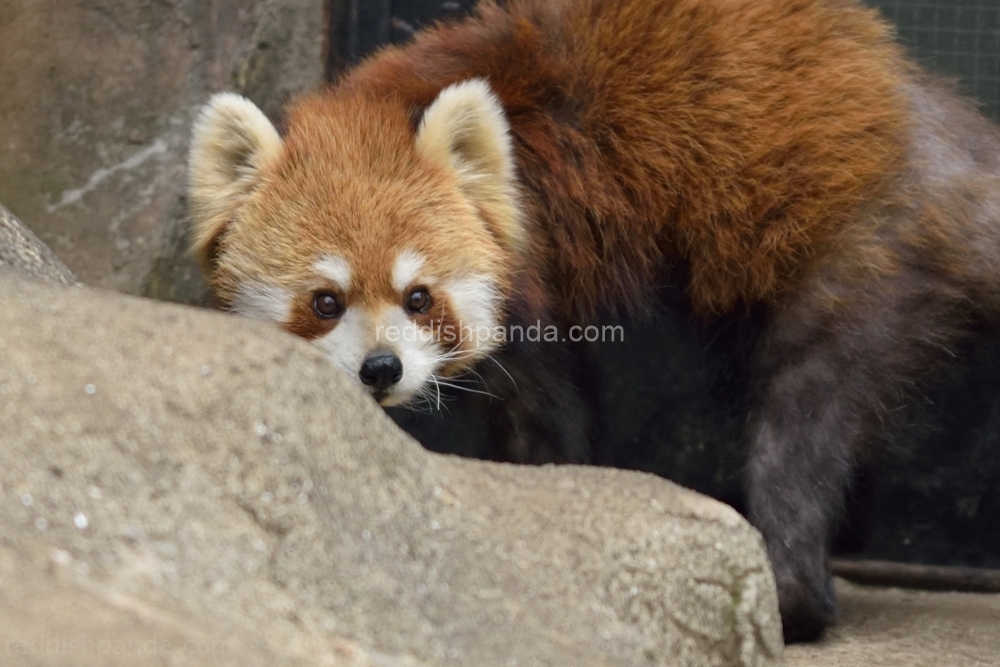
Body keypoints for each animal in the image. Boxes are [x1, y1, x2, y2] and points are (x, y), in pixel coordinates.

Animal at [184, 0, 1000, 644]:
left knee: (804, 412)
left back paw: (790, 594)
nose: (381, 370)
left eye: (419, 297)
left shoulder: (538, 261)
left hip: (861, 242)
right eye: (326, 301)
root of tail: (937, 127)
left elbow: (549, 408)